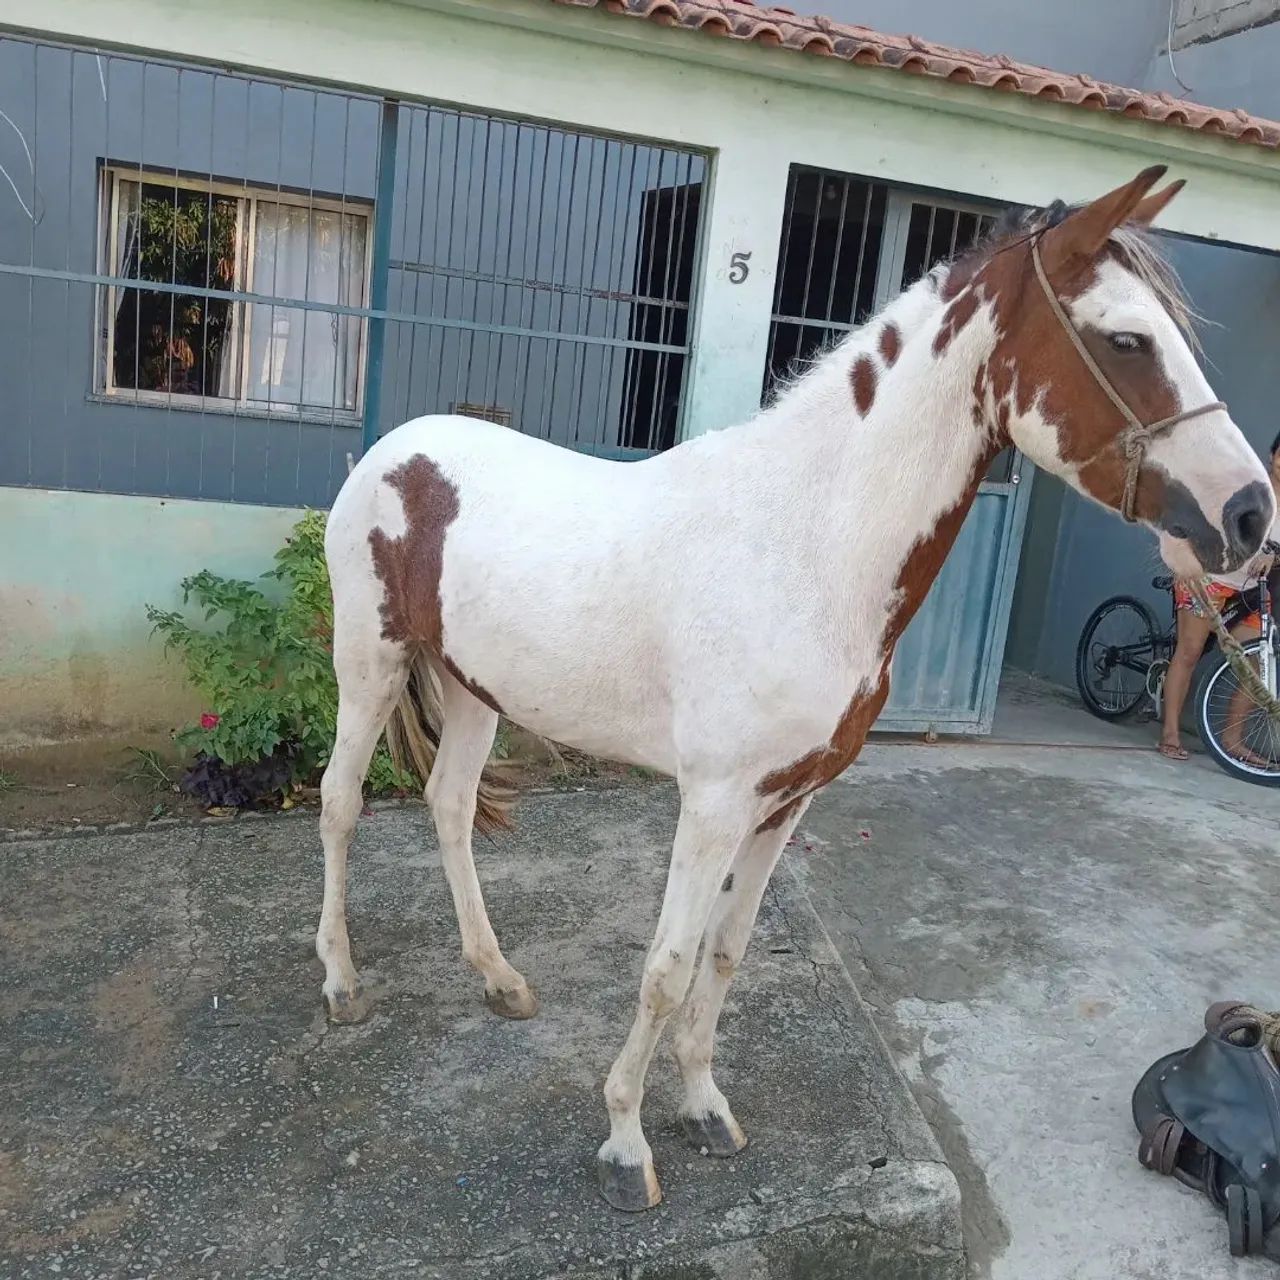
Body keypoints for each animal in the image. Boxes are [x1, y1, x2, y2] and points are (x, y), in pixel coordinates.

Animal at [315, 166, 1275, 1211]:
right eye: (1127, 339)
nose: (1250, 514)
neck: (806, 546)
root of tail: (396, 451)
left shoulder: (787, 799)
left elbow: (727, 954)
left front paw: (704, 1110)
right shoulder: (713, 802)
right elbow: (667, 966)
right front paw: (625, 1146)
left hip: (473, 688)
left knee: (449, 805)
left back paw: (498, 979)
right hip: (369, 663)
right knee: (340, 802)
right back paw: (341, 985)